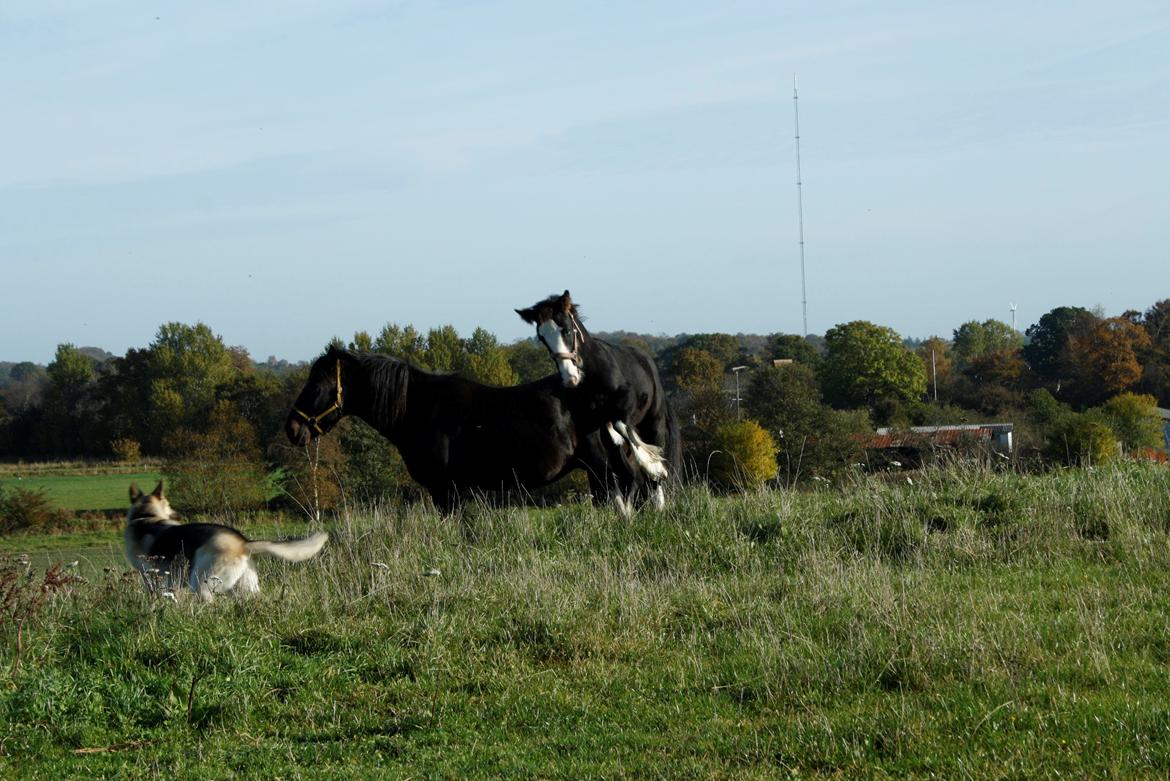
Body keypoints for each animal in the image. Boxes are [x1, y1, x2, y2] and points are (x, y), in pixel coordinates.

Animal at [125, 479, 327, 603]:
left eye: (166, 503)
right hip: (246, 588)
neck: (146, 516)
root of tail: (243, 543)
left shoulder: (150, 576)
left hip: (202, 584)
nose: (177, 515)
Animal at [517, 289, 683, 509]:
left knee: (655, 455)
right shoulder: (590, 423)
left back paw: (658, 500)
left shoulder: (625, 405)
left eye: (566, 330)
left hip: (652, 421)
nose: (570, 376)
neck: (595, 375)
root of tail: (647, 359)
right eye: (542, 337)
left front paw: (652, 465)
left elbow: (621, 426)